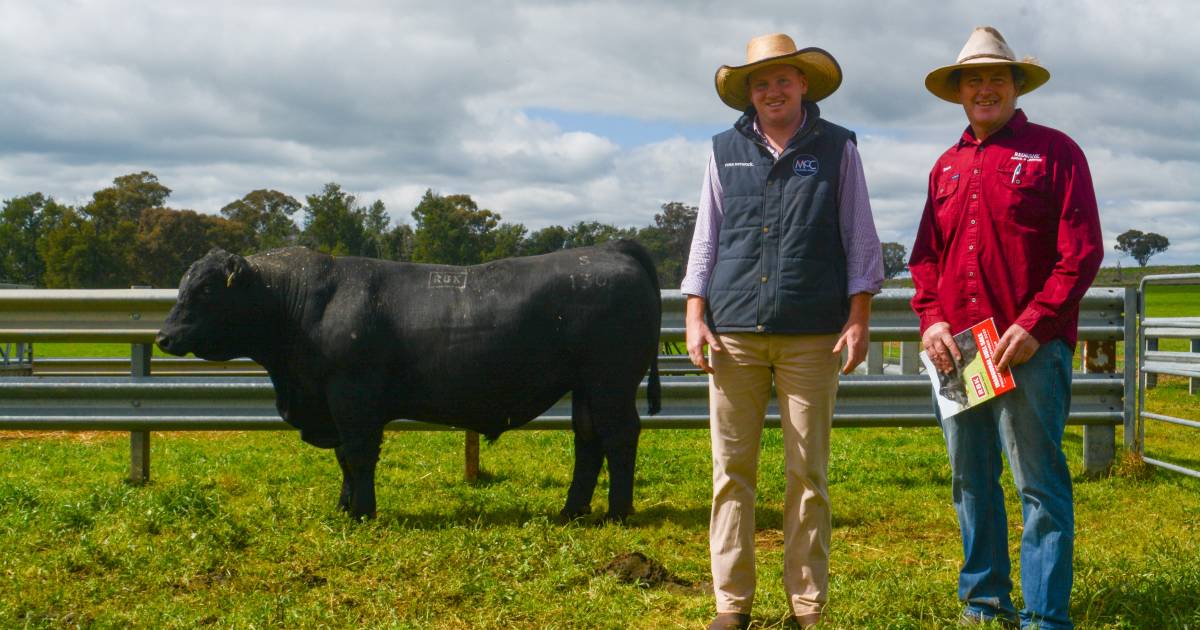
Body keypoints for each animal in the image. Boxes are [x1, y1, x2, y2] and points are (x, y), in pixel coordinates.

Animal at [154, 241, 662, 520]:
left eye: (205, 289)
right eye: (183, 285)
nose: (163, 336)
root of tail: (609, 248)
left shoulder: (352, 396)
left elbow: (358, 455)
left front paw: (362, 511)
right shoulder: (335, 405)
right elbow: (343, 457)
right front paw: (344, 507)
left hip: (611, 381)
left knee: (619, 436)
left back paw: (617, 512)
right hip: (587, 387)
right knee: (589, 440)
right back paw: (572, 510)